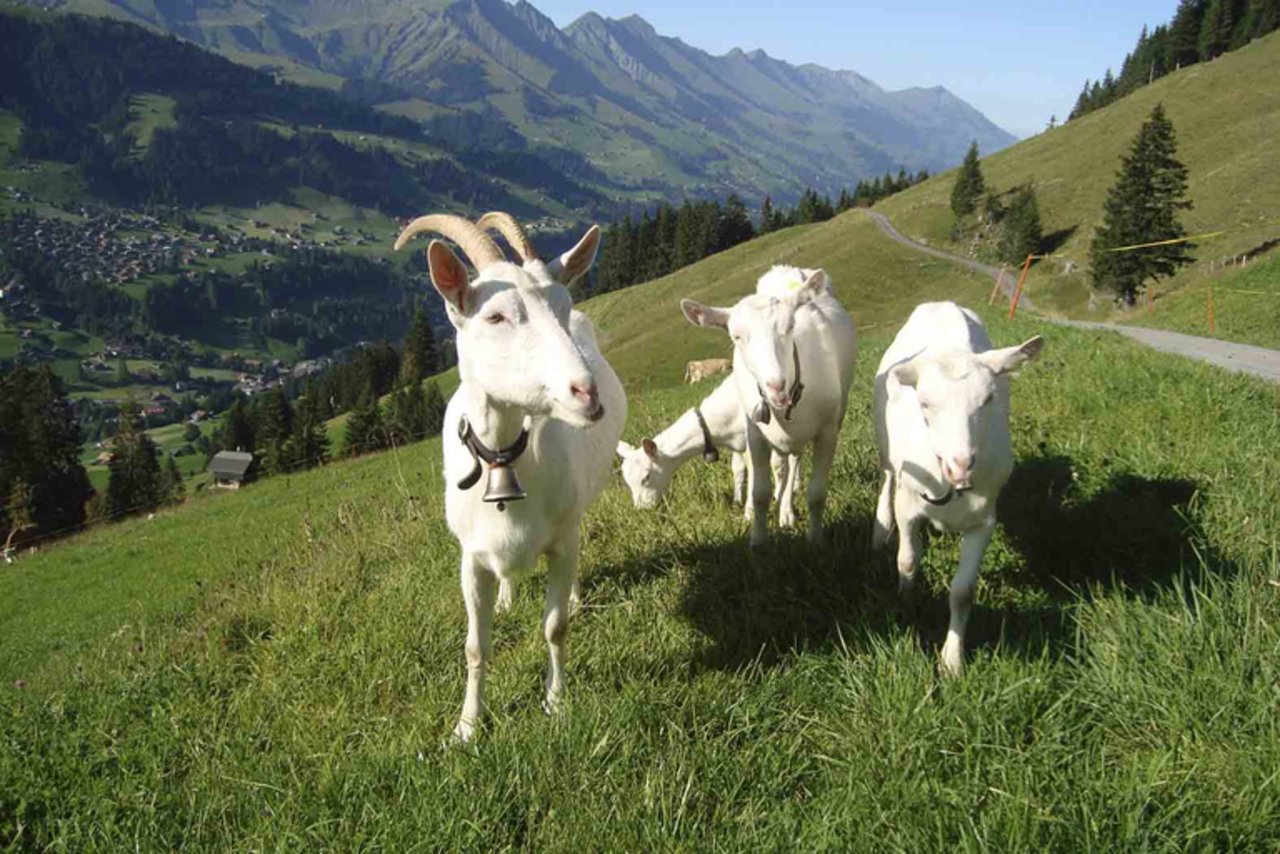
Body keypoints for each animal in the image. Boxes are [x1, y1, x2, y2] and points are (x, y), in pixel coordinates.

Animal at [391, 212, 627, 742]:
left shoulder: (561, 542)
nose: (586, 393)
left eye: (563, 304)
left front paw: (556, 701)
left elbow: (555, 627)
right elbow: (475, 646)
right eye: (495, 317)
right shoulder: (469, 558)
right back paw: (506, 597)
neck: (504, 455)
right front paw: (466, 726)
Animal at [686, 267, 855, 547]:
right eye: (736, 337)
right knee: (784, 466)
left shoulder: (828, 431)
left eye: (790, 327)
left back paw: (787, 510)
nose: (776, 386)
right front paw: (758, 541)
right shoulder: (755, 435)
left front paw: (816, 540)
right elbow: (760, 493)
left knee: (793, 464)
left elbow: (817, 492)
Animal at [870, 303, 1039, 676]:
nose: (960, 464)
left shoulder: (984, 521)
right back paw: (880, 528)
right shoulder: (909, 505)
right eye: (924, 403)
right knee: (887, 476)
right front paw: (906, 608)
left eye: (989, 398)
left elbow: (963, 591)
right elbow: (907, 561)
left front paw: (951, 661)